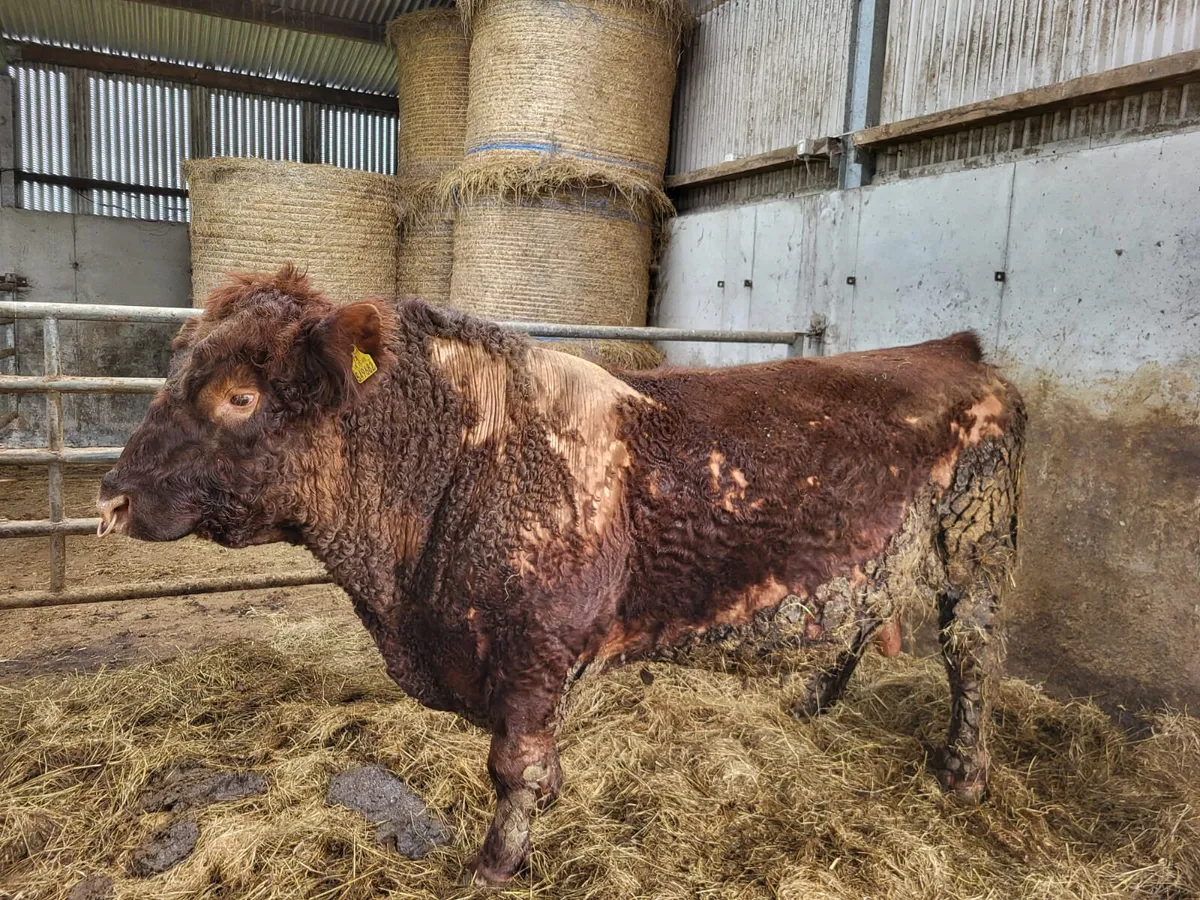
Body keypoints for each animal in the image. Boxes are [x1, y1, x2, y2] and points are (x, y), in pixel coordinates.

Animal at [97, 267, 1025, 884]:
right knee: (861, 616)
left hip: (975, 552)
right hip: (874, 553)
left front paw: (496, 863)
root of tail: (958, 350)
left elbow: (514, 766)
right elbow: (537, 764)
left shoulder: (531, 652)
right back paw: (810, 700)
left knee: (972, 652)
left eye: (240, 397)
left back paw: (962, 772)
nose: (110, 498)